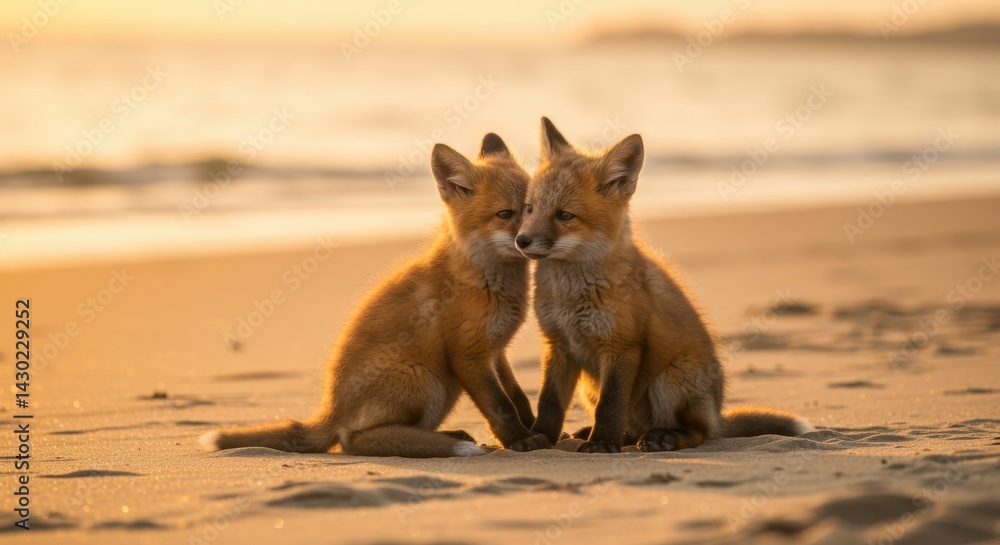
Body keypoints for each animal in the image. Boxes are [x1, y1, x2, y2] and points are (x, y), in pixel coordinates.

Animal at [201, 133, 552, 457]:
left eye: (535, 208)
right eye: (506, 214)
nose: (528, 239)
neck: (481, 276)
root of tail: (332, 411)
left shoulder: (496, 350)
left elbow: (517, 397)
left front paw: (537, 431)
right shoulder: (469, 354)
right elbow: (500, 406)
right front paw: (521, 441)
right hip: (428, 381)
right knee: (353, 440)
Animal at [515, 118, 814, 453]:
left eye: (565, 215)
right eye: (529, 208)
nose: (521, 240)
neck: (569, 296)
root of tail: (716, 413)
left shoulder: (622, 347)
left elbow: (611, 404)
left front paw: (602, 443)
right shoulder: (558, 345)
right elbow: (549, 401)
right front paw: (540, 437)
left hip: (667, 381)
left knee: (696, 432)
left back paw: (663, 437)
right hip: (590, 387)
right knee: (633, 426)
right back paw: (617, 435)